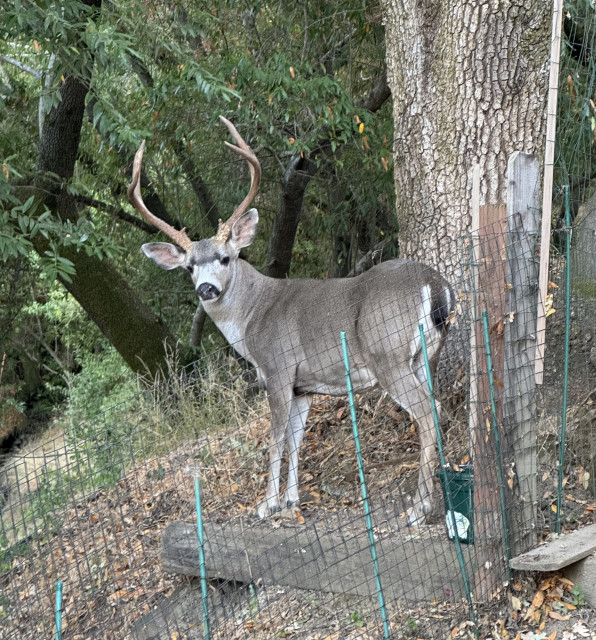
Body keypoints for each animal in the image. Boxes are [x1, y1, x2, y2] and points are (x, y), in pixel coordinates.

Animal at [128, 117, 454, 528]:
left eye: (224, 258)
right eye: (188, 266)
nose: (205, 289)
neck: (252, 317)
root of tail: (436, 285)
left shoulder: (279, 369)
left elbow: (276, 438)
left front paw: (267, 503)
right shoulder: (304, 386)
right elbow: (296, 438)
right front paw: (292, 498)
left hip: (388, 355)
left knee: (429, 412)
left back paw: (418, 507)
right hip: (425, 355)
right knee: (436, 406)